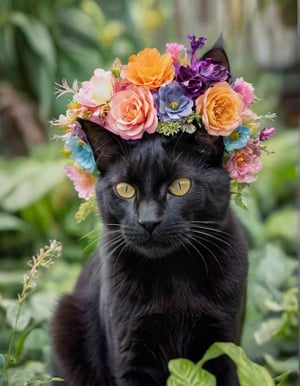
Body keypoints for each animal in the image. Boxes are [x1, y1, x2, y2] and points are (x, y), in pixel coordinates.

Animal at [51, 46, 248, 386]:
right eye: (125, 189)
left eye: (180, 186)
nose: (148, 221)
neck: (174, 277)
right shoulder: (131, 354)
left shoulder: (224, 347)